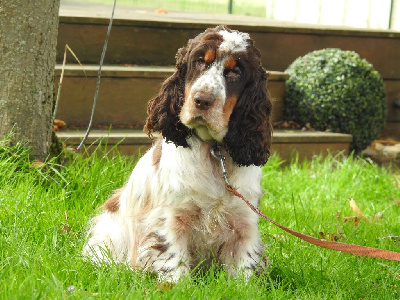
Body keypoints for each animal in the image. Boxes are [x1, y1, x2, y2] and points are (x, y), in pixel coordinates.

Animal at [83, 25, 274, 282]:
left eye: (235, 71)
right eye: (199, 61)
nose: (202, 100)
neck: (214, 153)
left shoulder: (243, 221)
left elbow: (245, 272)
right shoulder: (172, 217)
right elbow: (174, 266)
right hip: (109, 233)